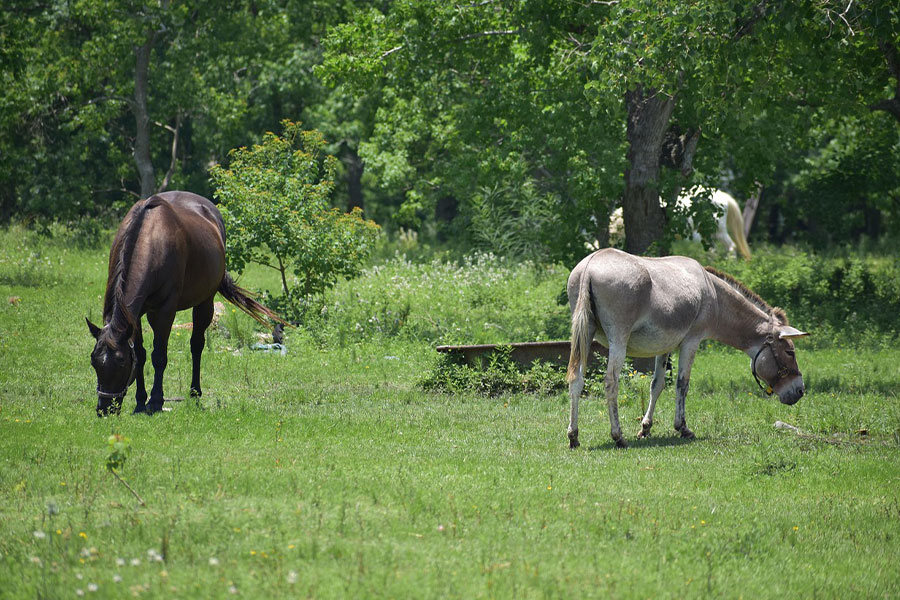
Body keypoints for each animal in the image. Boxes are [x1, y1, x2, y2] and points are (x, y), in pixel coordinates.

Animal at [86, 191, 285, 417]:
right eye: (93, 360)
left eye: (120, 362)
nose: (104, 409)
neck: (150, 240)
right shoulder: (134, 317)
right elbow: (140, 354)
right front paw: (140, 402)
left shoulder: (164, 312)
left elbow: (159, 356)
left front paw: (155, 401)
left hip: (204, 303)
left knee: (196, 345)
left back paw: (195, 394)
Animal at [565, 248, 807, 449]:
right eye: (790, 352)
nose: (800, 391)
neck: (714, 294)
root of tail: (591, 264)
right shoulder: (692, 341)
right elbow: (682, 384)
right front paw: (682, 427)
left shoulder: (665, 346)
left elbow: (657, 385)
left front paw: (646, 428)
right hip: (618, 340)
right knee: (611, 382)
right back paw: (618, 436)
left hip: (584, 335)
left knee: (576, 380)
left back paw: (574, 436)